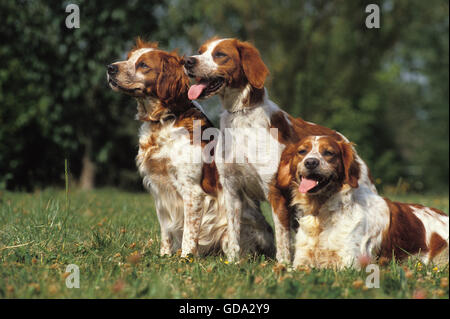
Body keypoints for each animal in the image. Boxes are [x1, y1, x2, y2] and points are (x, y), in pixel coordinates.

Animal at [106, 39, 274, 260]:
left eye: (143, 65)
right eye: (128, 58)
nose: (110, 68)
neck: (164, 121)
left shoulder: (192, 191)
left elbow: (189, 231)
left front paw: (185, 258)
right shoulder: (159, 190)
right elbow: (166, 231)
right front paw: (164, 256)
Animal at [185, 37, 378, 262]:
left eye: (220, 54)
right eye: (200, 51)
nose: (187, 61)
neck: (241, 116)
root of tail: (345, 143)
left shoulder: (276, 192)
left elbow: (282, 238)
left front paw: (283, 265)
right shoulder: (232, 190)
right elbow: (233, 234)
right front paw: (233, 262)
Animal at [272, 135, 448, 270]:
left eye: (329, 153)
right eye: (302, 151)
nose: (311, 162)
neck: (322, 213)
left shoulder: (350, 264)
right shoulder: (301, 262)